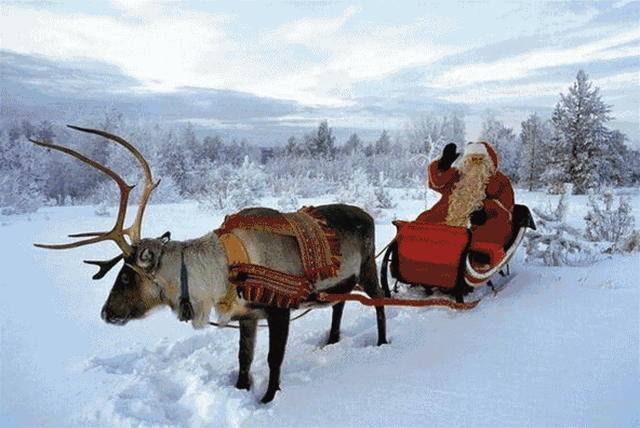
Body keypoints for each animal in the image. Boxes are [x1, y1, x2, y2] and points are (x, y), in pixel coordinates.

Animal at [31, 125, 387, 403]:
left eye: (127, 278)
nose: (106, 313)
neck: (224, 270)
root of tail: (367, 214)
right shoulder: (247, 315)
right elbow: (244, 358)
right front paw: (241, 388)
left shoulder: (279, 309)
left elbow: (273, 359)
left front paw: (268, 399)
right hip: (342, 281)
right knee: (339, 304)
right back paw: (332, 340)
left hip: (368, 268)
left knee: (380, 299)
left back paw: (382, 342)